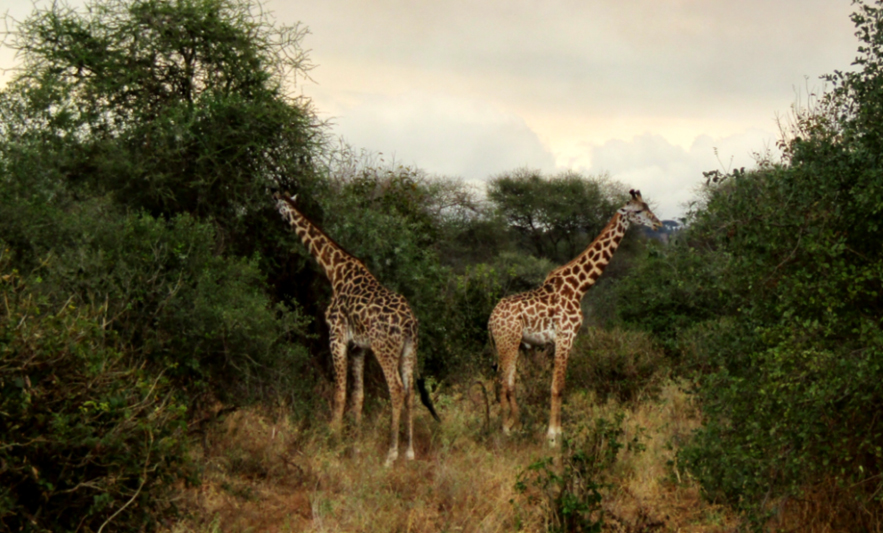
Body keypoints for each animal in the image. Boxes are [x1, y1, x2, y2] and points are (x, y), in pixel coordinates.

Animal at [272, 192, 438, 466]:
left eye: (276, 203)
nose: (277, 217)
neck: (334, 270)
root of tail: (410, 323)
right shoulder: (359, 347)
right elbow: (357, 397)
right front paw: (355, 449)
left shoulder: (336, 335)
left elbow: (339, 392)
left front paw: (333, 440)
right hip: (409, 349)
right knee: (410, 391)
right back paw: (409, 452)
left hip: (385, 349)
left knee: (396, 389)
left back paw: (391, 454)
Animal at [490, 189, 664, 442]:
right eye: (639, 210)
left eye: (647, 206)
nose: (658, 224)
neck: (579, 287)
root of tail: (490, 319)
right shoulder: (566, 336)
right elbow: (557, 386)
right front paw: (554, 436)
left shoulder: (560, 340)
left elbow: (557, 386)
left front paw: (554, 432)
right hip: (508, 343)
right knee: (502, 382)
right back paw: (505, 430)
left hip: (515, 344)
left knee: (510, 383)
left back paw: (517, 427)